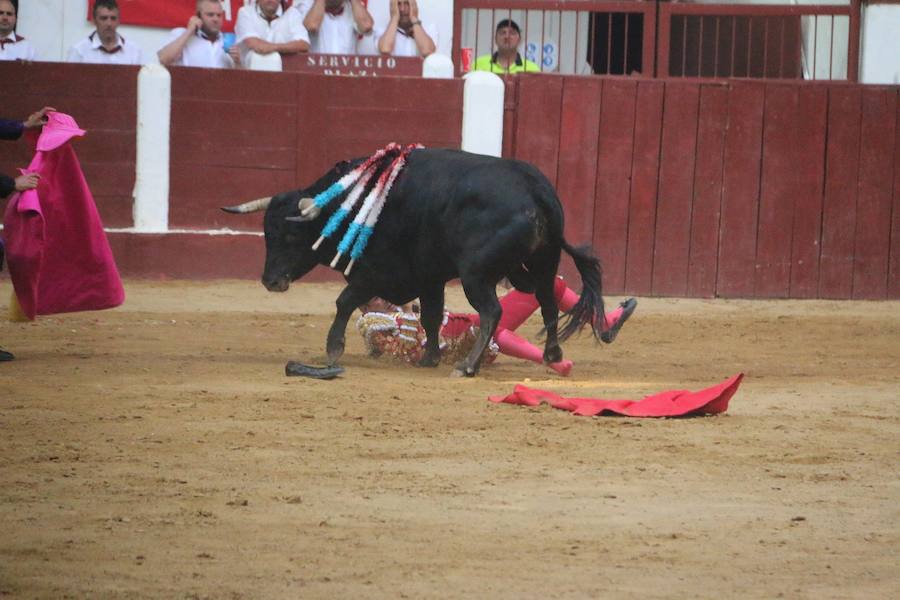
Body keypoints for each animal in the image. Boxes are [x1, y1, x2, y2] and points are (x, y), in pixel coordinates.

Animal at [221, 149, 608, 376]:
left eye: (289, 235)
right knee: (546, 300)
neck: (352, 202)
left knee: (492, 311)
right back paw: (552, 355)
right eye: (266, 233)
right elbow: (431, 315)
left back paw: (468, 366)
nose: (270, 281)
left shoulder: (378, 273)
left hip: (476, 275)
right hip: (539, 264)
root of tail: (534, 189)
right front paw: (429, 357)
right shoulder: (429, 276)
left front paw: (333, 350)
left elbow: (344, 301)